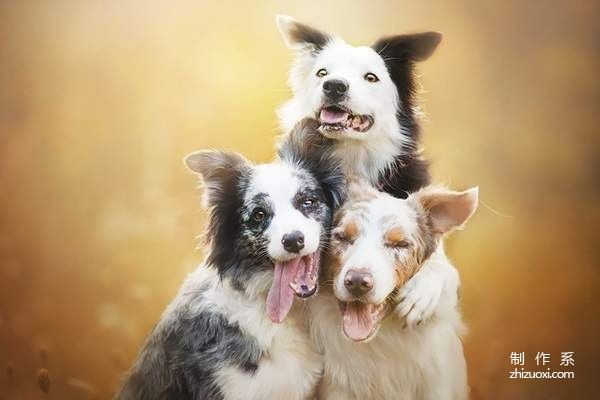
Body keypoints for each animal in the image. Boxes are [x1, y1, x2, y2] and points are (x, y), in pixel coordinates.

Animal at [276, 16, 460, 328]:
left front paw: (421, 291)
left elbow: (438, 259)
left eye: (371, 77)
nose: (334, 86)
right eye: (322, 72)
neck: (351, 158)